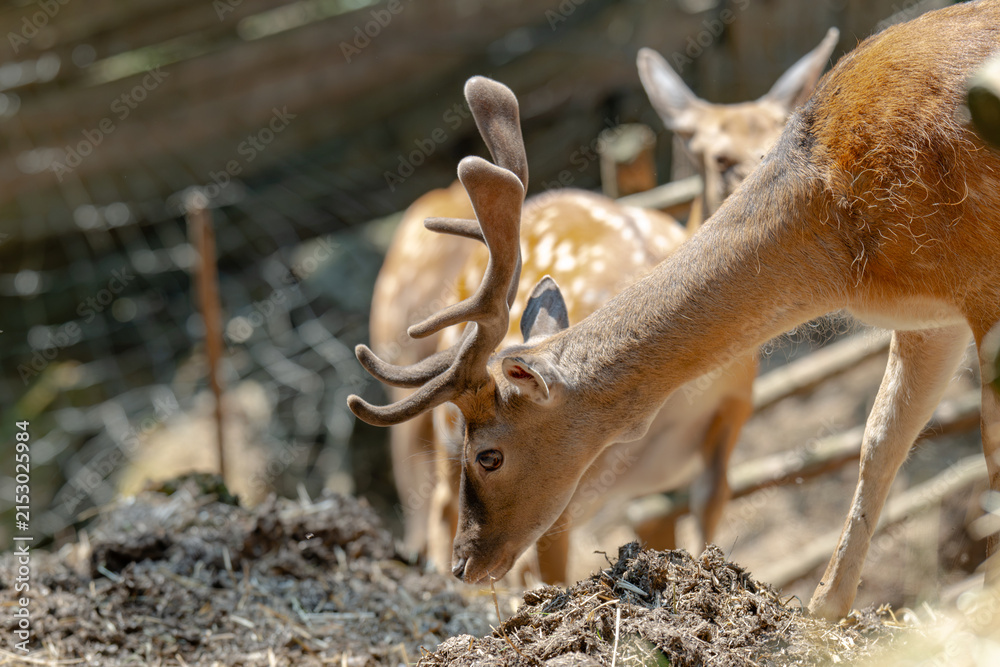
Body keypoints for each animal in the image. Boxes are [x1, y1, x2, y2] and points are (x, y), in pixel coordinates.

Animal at [368, 32, 841, 579]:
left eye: (489, 457)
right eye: (716, 157)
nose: (463, 565)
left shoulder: (733, 412)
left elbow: (701, 519)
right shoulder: (563, 501)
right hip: (436, 430)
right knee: (436, 509)